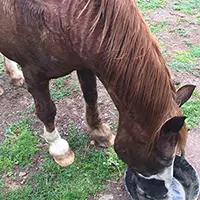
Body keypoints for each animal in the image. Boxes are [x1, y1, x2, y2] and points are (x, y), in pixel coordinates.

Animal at [0, 0, 195, 197]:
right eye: (163, 159)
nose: (162, 194)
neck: (63, 17)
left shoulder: (85, 62)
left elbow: (91, 95)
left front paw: (99, 131)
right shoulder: (35, 76)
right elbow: (47, 111)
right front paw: (59, 148)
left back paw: (14, 75)